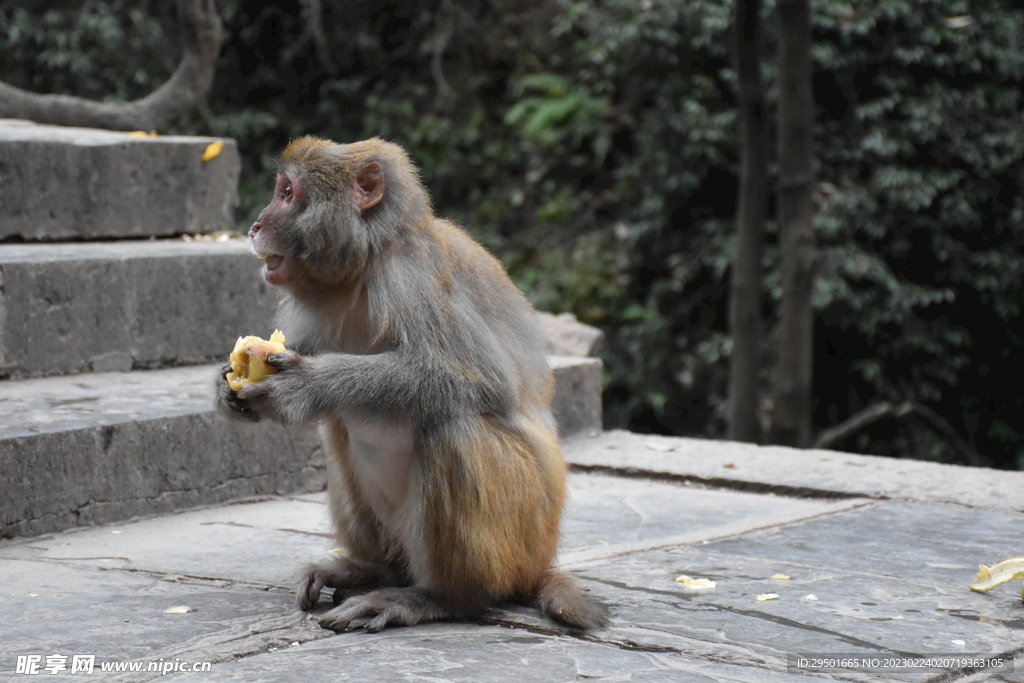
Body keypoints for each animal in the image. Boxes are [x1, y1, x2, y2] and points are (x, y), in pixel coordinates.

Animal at [216, 136, 606, 634]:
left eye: (287, 192)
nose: (254, 225)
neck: (364, 266)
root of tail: (540, 562)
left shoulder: (410, 276)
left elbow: (480, 381)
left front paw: (302, 387)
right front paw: (225, 388)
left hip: (522, 536)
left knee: (453, 427)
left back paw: (439, 598)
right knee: (338, 430)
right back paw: (372, 569)